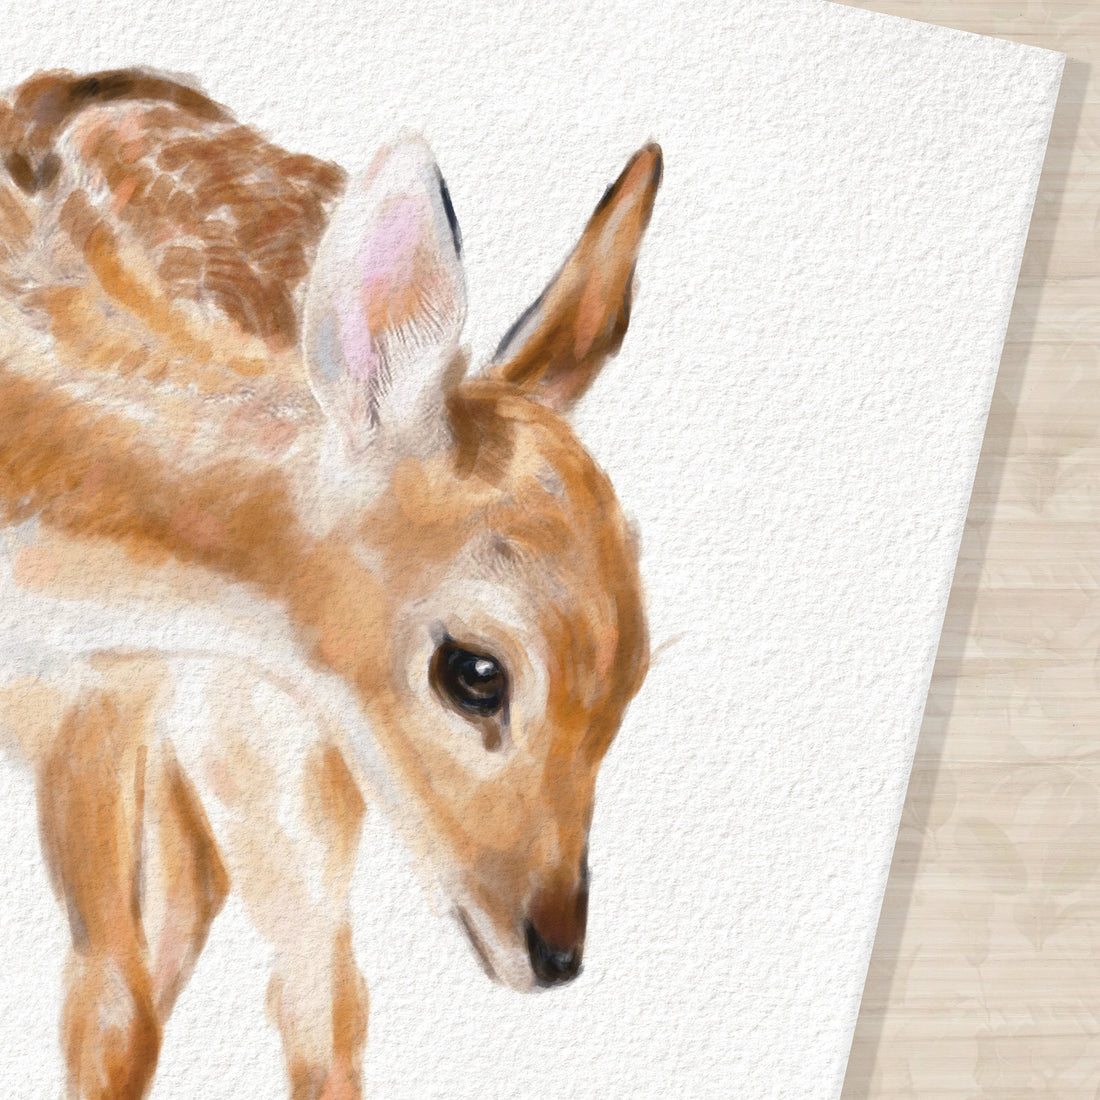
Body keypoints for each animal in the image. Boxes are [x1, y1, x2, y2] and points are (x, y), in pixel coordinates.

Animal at [0, 68, 660, 1099]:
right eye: (477, 672)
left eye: (636, 673)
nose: (554, 953)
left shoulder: (108, 697)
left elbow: (119, 999)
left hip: (277, 748)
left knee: (303, 985)